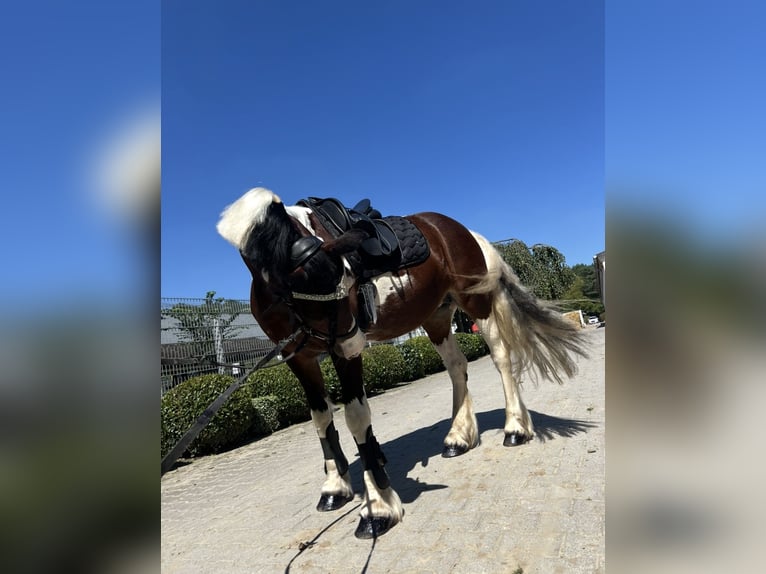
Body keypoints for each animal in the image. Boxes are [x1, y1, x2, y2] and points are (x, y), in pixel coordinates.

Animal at [216, 187, 587, 539]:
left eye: (346, 276)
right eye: (310, 281)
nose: (354, 337)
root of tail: (462, 231)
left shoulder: (340, 353)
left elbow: (355, 418)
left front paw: (377, 508)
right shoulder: (300, 356)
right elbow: (321, 418)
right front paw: (335, 487)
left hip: (476, 304)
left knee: (501, 358)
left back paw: (515, 428)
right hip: (436, 317)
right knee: (457, 366)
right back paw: (458, 437)